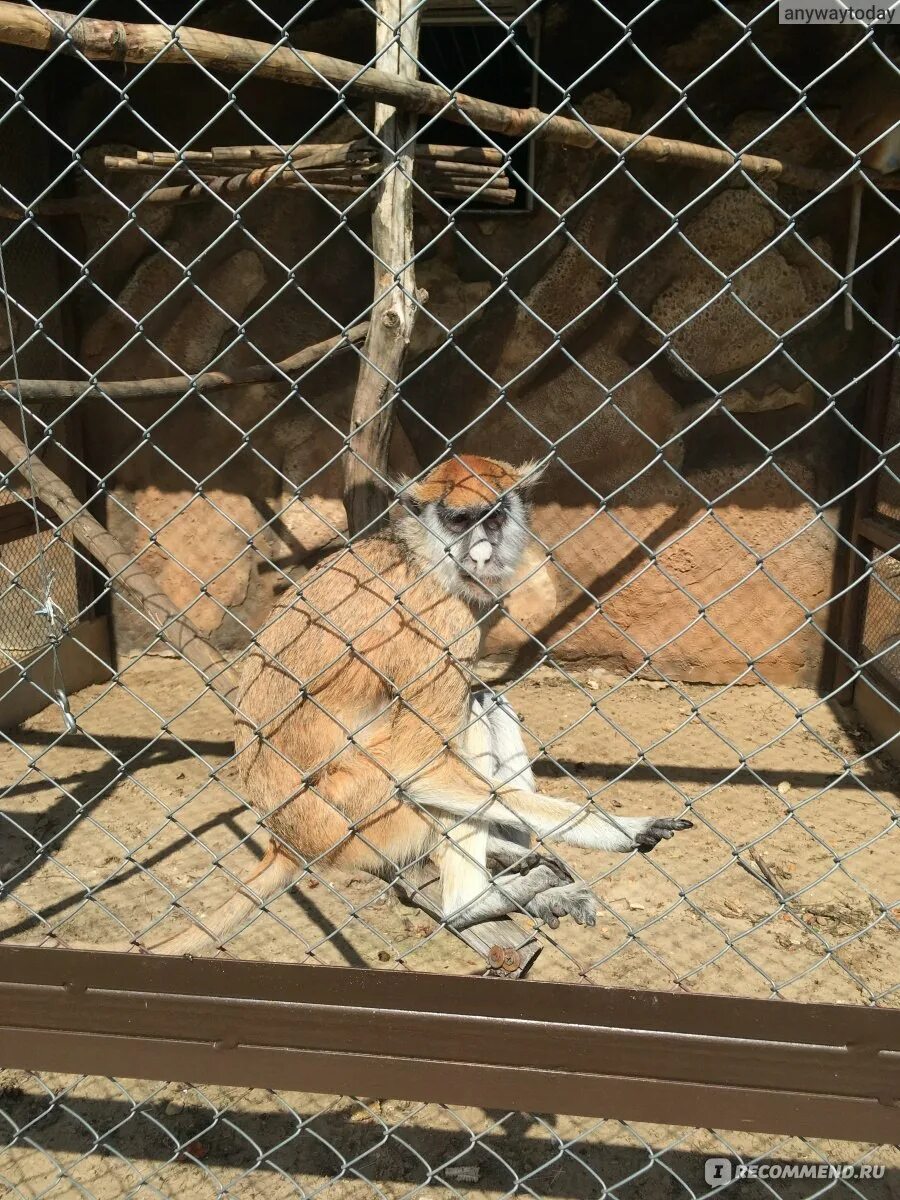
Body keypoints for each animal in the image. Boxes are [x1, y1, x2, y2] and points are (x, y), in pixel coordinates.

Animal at [153, 453, 691, 950]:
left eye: (493, 519)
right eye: (459, 520)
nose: (481, 555)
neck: (419, 555)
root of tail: (288, 839)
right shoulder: (440, 623)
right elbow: (419, 766)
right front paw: (623, 829)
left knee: (486, 702)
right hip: (359, 812)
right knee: (459, 730)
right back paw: (472, 904)